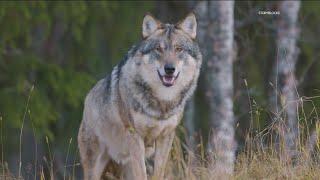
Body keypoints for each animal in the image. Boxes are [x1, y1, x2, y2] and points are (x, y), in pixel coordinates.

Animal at [77, 13, 201, 180]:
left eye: (178, 49)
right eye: (158, 49)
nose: (169, 69)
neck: (161, 102)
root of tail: (88, 98)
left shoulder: (165, 137)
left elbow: (158, 173)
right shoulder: (135, 136)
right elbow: (142, 174)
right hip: (96, 164)